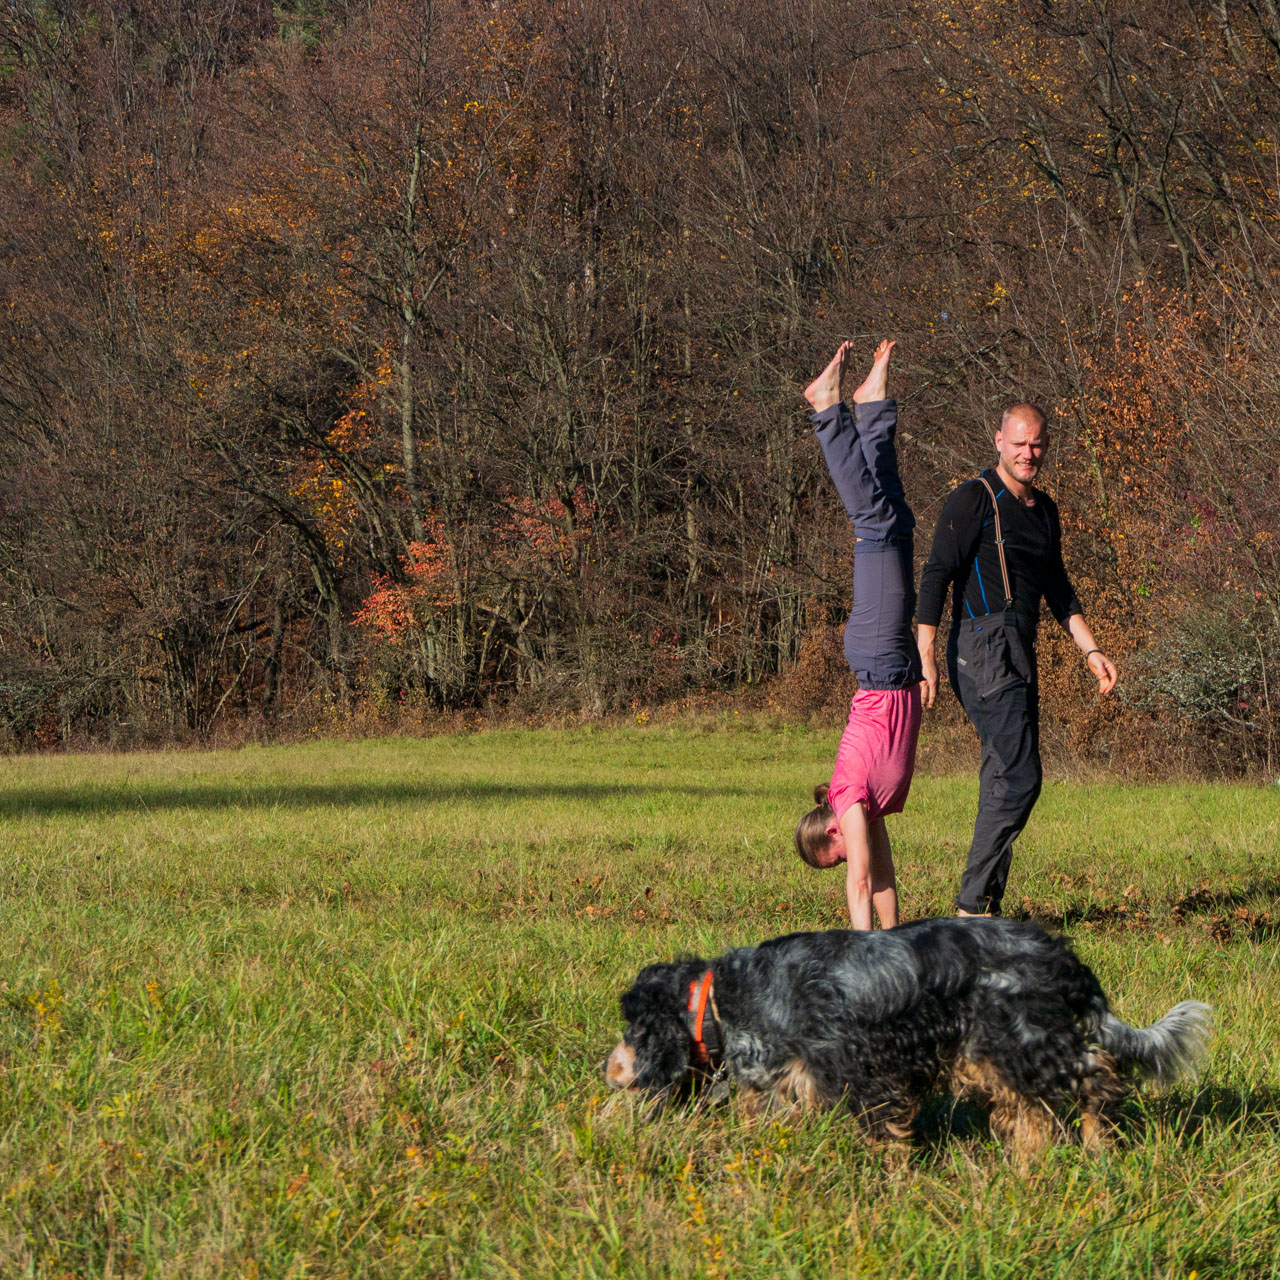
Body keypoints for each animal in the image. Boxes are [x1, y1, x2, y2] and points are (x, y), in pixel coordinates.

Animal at [604, 921, 1203, 1152]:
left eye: (632, 1028)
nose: (608, 1070)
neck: (721, 1000)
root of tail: (1064, 958)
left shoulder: (858, 1068)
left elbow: (885, 1132)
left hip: (1023, 1043)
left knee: (1099, 1076)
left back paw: (1096, 1143)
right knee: (1046, 1102)